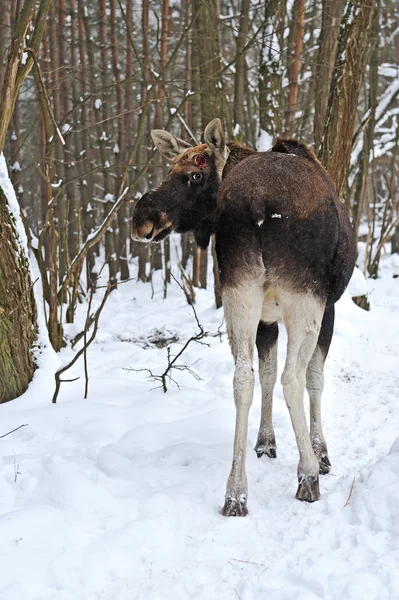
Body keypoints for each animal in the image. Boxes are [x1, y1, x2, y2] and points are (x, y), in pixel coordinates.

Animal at [132, 118, 356, 516]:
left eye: (195, 172)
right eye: (172, 168)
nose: (141, 218)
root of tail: (256, 203)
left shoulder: (266, 316)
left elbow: (264, 374)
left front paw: (265, 442)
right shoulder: (329, 305)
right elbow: (313, 379)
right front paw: (321, 453)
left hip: (238, 289)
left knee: (243, 378)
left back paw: (235, 492)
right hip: (304, 296)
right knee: (292, 377)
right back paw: (307, 476)